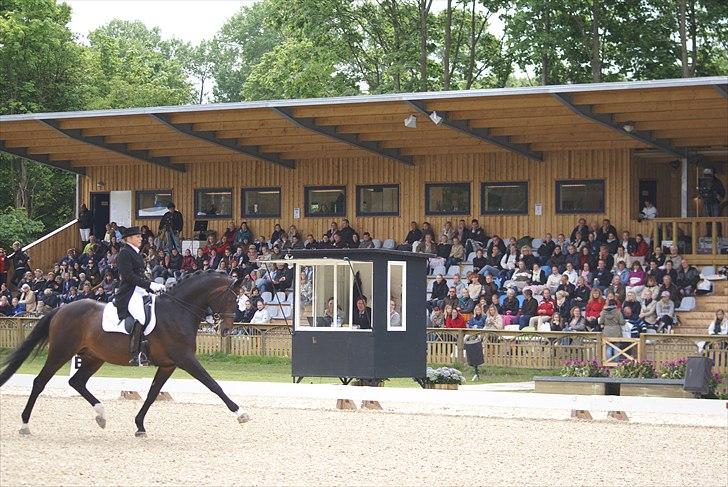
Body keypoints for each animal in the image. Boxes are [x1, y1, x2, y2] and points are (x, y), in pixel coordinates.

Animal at [0, 270, 249, 438]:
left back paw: (101, 415)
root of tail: (62, 308)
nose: (226, 330)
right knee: (40, 382)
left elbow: (152, 394)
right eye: (231, 298)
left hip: (93, 357)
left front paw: (139, 426)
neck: (177, 311)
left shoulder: (168, 364)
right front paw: (241, 414)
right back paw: (24, 426)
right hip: (61, 352)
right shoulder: (185, 359)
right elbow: (213, 385)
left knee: (77, 382)